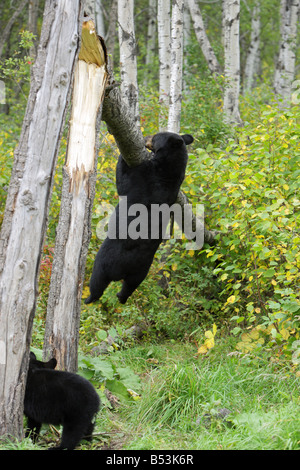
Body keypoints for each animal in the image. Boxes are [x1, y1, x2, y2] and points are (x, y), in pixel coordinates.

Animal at [84, 131, 193, 304]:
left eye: (155, 136)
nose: (145, 138)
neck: (169, 170)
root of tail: (124, 269)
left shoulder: (145, 176)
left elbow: (123, 182)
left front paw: (121, 156)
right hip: (141, 271)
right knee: (131, 285)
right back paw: (121, 296)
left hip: (106, 259)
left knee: (98, 279)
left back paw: (89, 298)